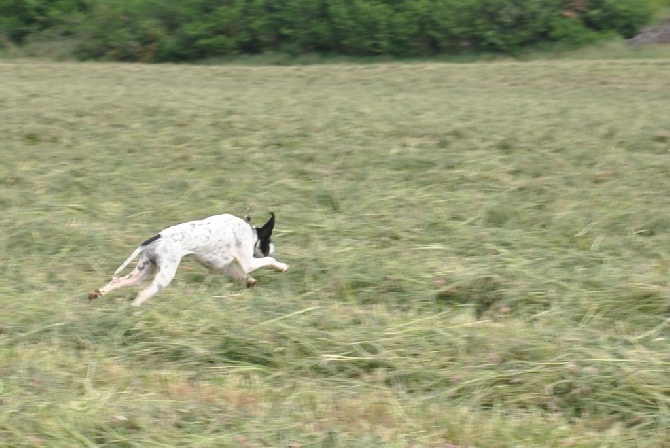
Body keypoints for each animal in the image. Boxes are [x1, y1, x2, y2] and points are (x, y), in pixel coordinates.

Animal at [89, 213, 288, 304]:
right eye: (268, 240)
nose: (273, 247)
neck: (250, 231)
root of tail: (158, 237)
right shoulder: (248, 262)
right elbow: (268, 262)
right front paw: (282, 266)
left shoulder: (220, 266)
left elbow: (236, 272)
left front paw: (249, 281)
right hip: (163, 276)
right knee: (143, 294)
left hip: (143, 272)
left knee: (117, 282)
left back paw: (97, 293)